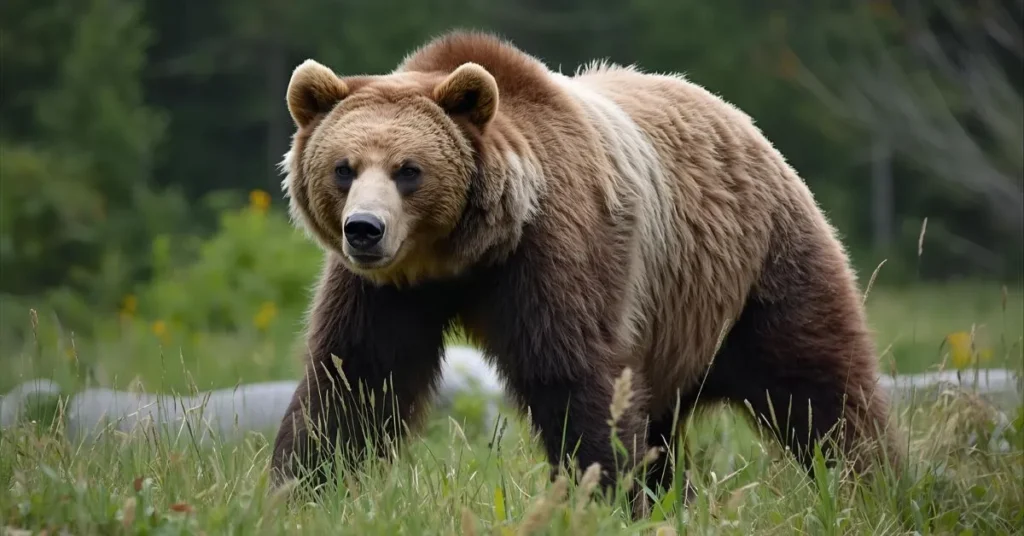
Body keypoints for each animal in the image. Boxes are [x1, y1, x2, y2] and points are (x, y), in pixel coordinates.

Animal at [270, 30, 900, 513]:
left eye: (409, 170)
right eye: (343, 168)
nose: (365, 229)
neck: (462, 255)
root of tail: (740, 119)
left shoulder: (555, 250)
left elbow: (574, 376)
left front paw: (608, 494)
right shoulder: (385, 291)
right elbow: (353, 379)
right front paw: (300, 489)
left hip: (754, 269)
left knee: (819, 385)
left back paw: (874, 483)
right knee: (665, 424)